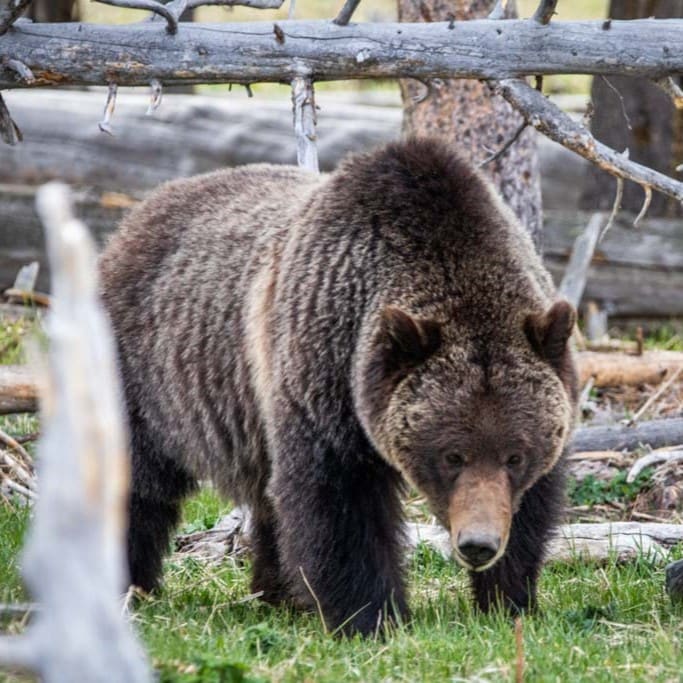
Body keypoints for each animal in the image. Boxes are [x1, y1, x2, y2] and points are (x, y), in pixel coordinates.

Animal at [99, 138, 580, 636]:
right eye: (452, 455)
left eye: (515, 455)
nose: (478, 544)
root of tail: (134, 217)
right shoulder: (326, 379)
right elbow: (341, 502)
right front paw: (371, 615)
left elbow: (532, 507)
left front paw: (508, 599)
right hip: (148, 375)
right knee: (134, 478)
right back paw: (129, 584)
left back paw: (278, 592)